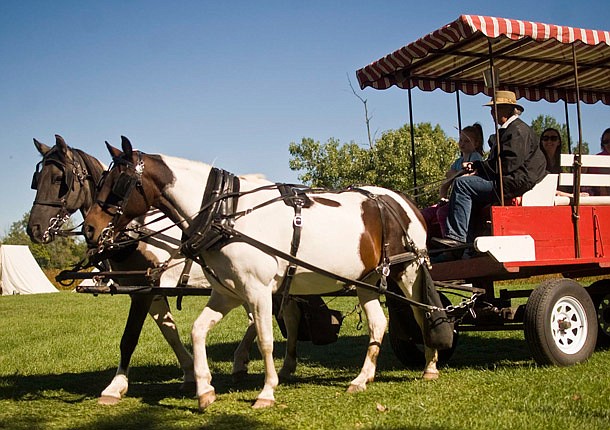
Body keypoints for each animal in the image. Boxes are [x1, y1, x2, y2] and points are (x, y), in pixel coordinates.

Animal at [25, 136, 278, 404]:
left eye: (59, 180)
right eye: (37, 181)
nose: (34, 228)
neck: (135, 233)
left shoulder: (141, 291)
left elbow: (129, 338)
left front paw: (115, 386)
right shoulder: (152, 290)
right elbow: (170, 332)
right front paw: (190, 374)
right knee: (253, 320)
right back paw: (240, 363)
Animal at [83, 137, 440, 410]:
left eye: (119, 186)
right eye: (98, 183)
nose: (89, 229)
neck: (225, 214)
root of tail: (402, 199)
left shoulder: (256, 290)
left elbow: (266, 339)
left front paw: (266, 392)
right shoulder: (227, 292)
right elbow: (197, 331)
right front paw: (204, 389)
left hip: (408, 271)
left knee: (425, 314)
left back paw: (430, 365)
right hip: (367, 280)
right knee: (379, 323)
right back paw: (362, 378)